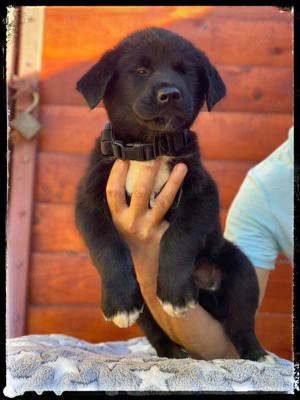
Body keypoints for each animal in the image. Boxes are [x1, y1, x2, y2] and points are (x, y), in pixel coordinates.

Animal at [75, 27, 268, 360]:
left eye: (185, 71)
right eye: (140, 71)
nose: (170, 94)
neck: (150, 148)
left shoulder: (202, 194)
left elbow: (179, 236)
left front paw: (176, 294)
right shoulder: (88, 202)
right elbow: (106, 247)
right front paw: (119, 302)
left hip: (237, 268)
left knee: (240, 322)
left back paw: (257, 354)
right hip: (146, 306)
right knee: (157, 333)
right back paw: (173, 353)